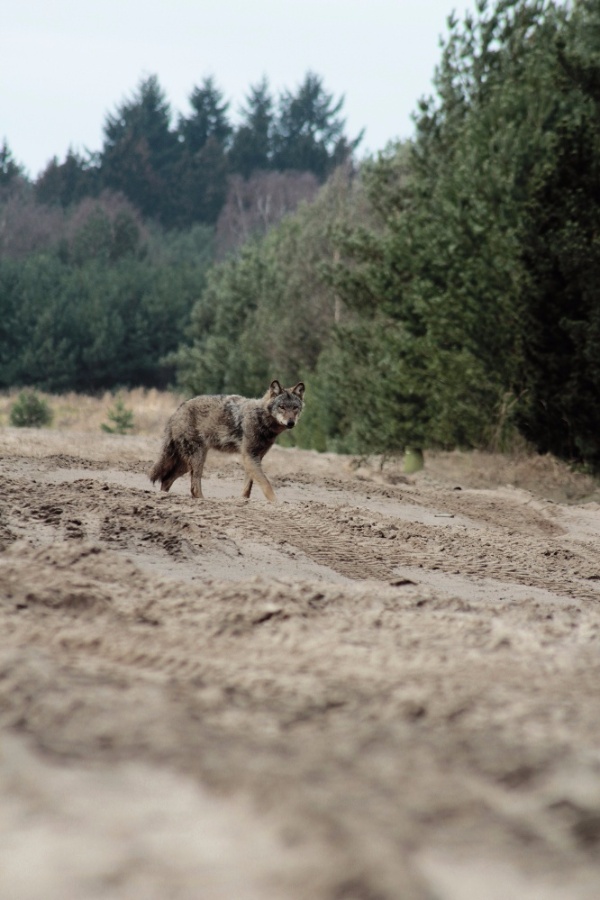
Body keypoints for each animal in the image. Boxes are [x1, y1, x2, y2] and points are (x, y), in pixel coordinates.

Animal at [150, 380, 304, 502]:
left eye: (295, 408)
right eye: (282, 407)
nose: (291, 423)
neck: (261, 419)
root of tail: (177, 411)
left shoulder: (255, 458)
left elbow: (248, 487)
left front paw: (243, 500)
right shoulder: (249, 456)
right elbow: (266, 484)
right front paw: (276, 503)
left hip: (186, 464)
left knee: (167, 480)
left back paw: (164, 496)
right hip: (197, 459)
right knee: (193, 487)